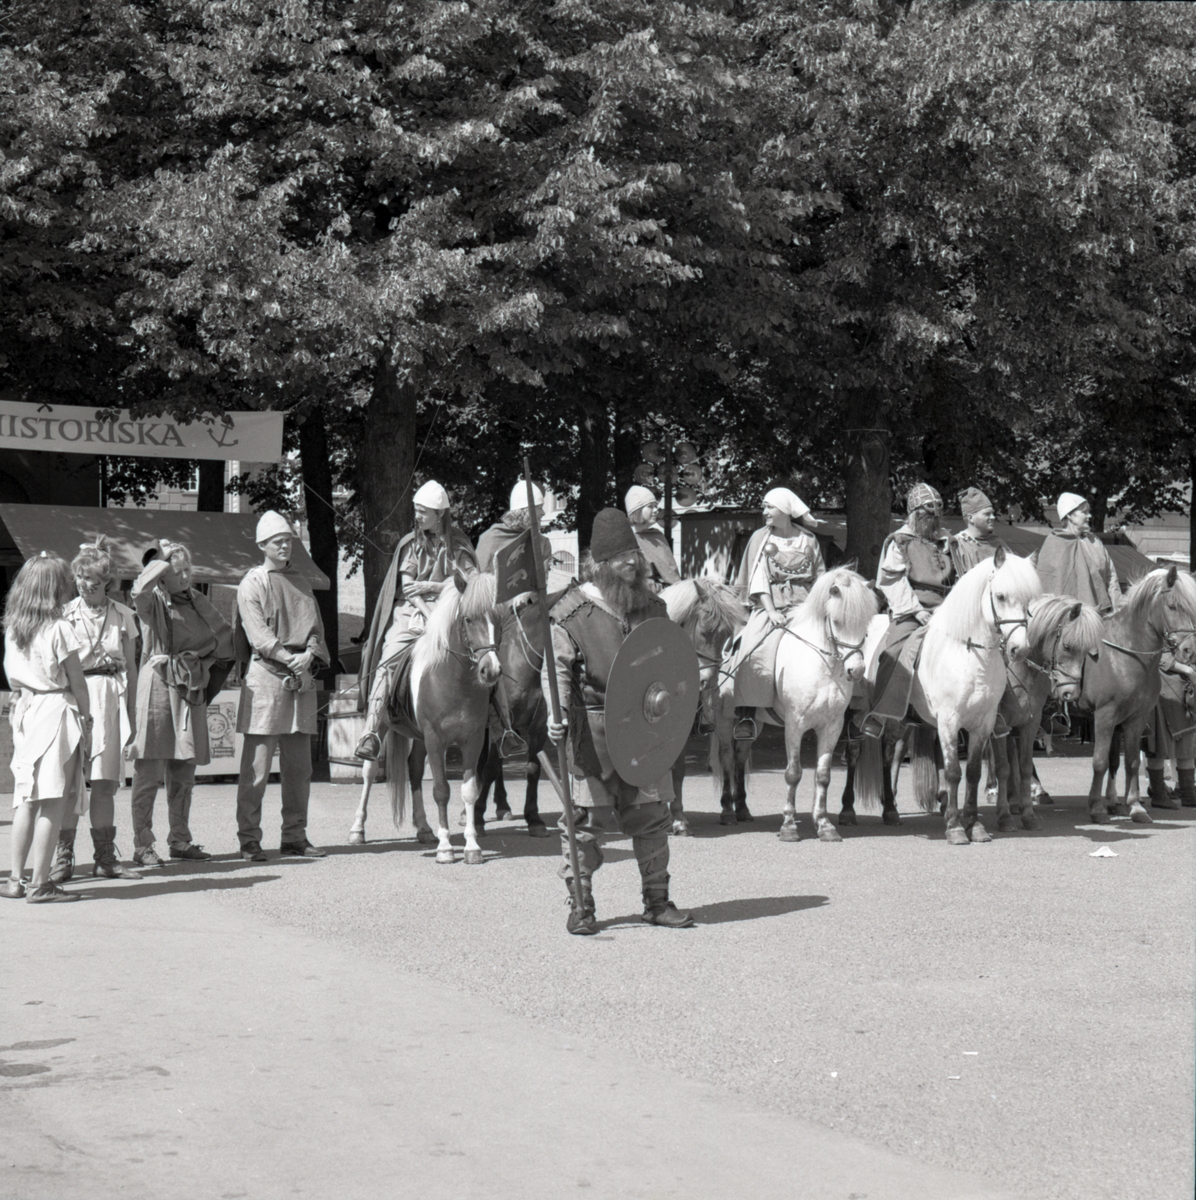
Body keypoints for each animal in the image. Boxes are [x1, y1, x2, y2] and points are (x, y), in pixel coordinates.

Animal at [345, 566, 499, 859]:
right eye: (468, 619)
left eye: (498, 618)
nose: (491, 670)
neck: (454, 680)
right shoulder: (435, 738)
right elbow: (441, 790)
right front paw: (446, 848)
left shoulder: (473, 740)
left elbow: (469, 791)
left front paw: (472, 847)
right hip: (384, 724)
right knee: (369, 771)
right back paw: (357, 829)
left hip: (418, 737)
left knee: (414, 770)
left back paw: (425, 828)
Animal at [710, 564, 878, 840]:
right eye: (837, 621)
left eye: (865, 624)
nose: (856, 670)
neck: (823, 667)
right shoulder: (795, 725)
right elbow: (793, 773)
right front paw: (788, 825)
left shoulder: (832, 727)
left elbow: (823, 775)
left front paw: (824, 825)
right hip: (725, 717)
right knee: (726, 756)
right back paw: (726, 811)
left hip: (755, 722)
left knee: (741, 753)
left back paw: (742, 809)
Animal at [988, 592, 1103, 835]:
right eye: (1067, 646)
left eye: (1087, 651)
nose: (1070, 693)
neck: (1020, 671)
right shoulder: (998, 726)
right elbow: (1002, 768)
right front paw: (1004, 817)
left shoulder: (1029, 724)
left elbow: (1023, 766)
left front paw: (1028, 815)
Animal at [1079, 564, 1194, 825]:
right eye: (1173, 606)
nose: (1189, 651)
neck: (1125, 654)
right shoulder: (1104, 716)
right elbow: (1100, 762)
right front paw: (1096, 807)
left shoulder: (1135, 718)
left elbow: (1130, 762)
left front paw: (1135, 806)